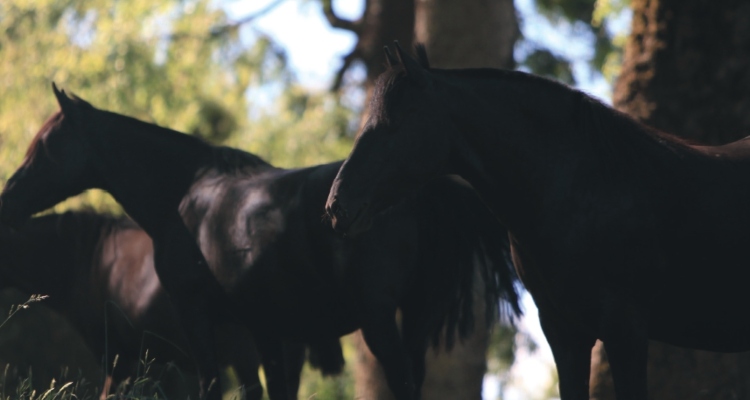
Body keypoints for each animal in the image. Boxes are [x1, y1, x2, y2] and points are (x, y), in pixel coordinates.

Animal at [0, 86, 524, 400]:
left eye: (45, 147)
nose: (8, 199)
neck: (184, 194)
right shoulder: (264, 329)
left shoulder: (201, 322)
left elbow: (214, 386)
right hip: (414, 320)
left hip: (379, 322)